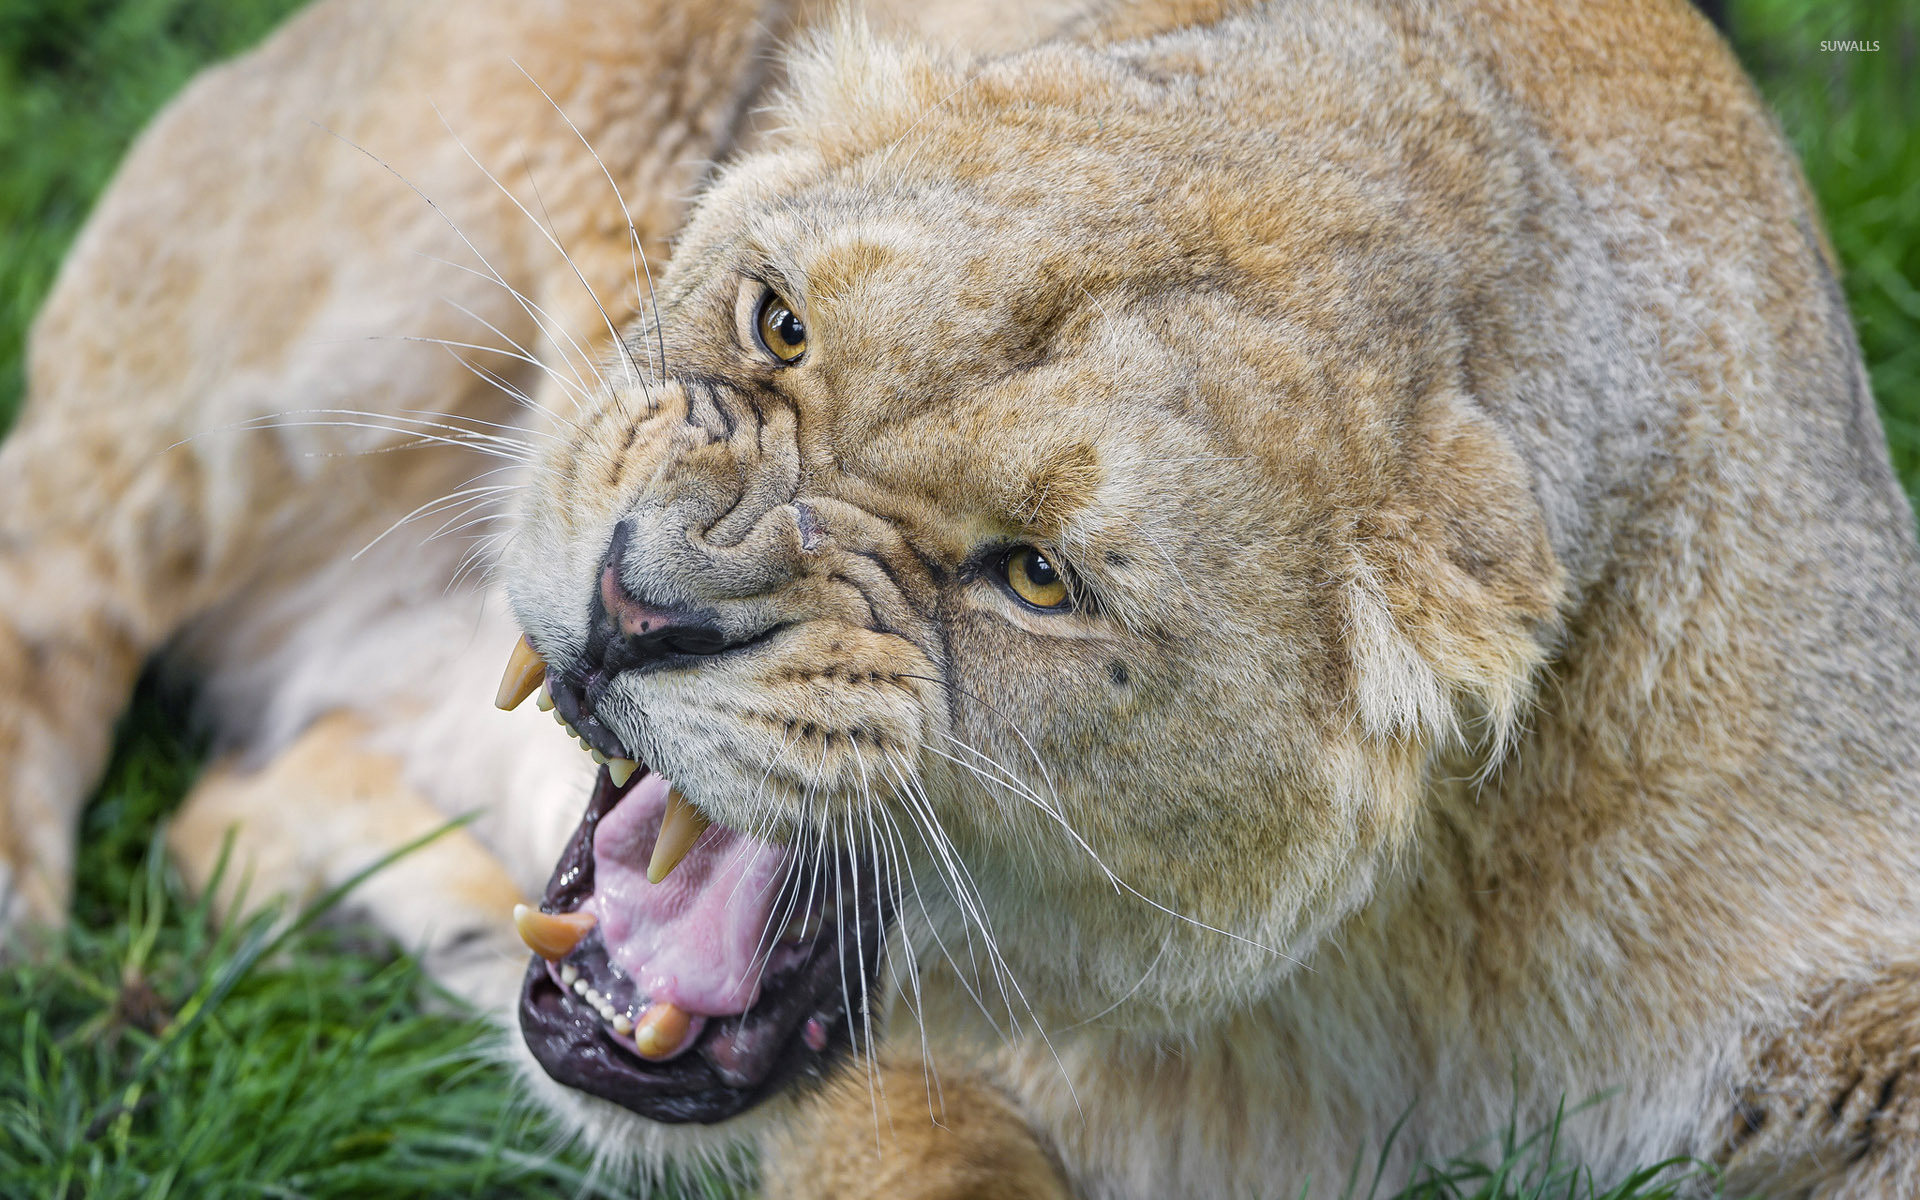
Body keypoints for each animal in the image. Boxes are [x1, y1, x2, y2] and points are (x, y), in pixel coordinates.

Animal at [4, 0, 1918, 1196]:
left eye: (1037, 577)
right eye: (779, 325)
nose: (636, 606)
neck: (1377, 976)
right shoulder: (928, 1088)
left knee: (244, 791)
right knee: (55, 538)